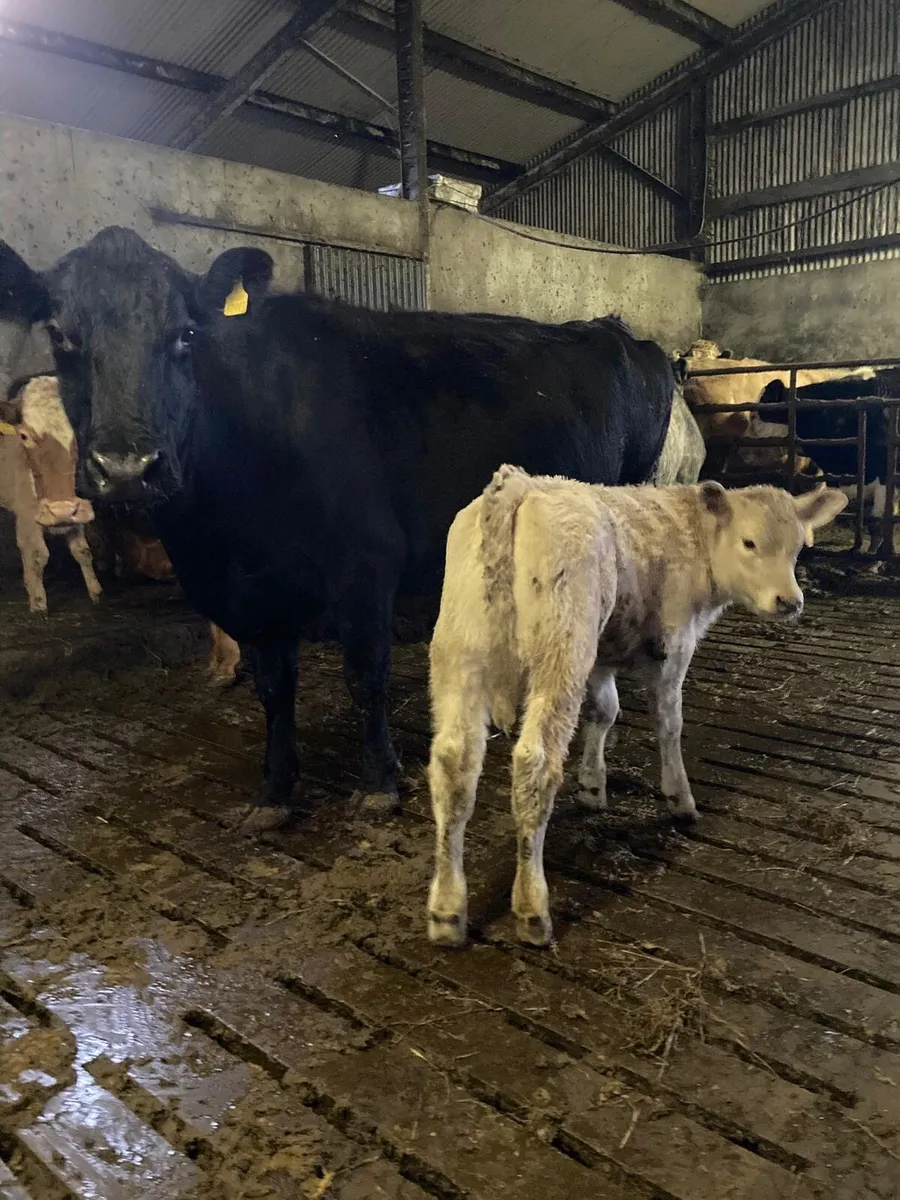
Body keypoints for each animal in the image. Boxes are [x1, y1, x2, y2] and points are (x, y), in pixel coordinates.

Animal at [0, 375, 101, 612]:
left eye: (82, 432)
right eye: (24, 436)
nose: (60, 510)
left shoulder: (76, 509)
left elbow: (83, 551)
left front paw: (95, 591)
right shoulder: (26, 513)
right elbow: (37, 554)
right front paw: (38, 603)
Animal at [426, 465, 847, 948]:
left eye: (798, 547)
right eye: (749, 542)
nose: (790, 602)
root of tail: (521, 484)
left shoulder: (603, 654)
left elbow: (605, 711)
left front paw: (593, 786)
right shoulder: (674, 645)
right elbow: (669, 722)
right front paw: (679, 797)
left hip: (459, 652)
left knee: (453, 764)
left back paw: (446, 909)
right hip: (561, 651)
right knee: (535, 763)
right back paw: (532, 906)